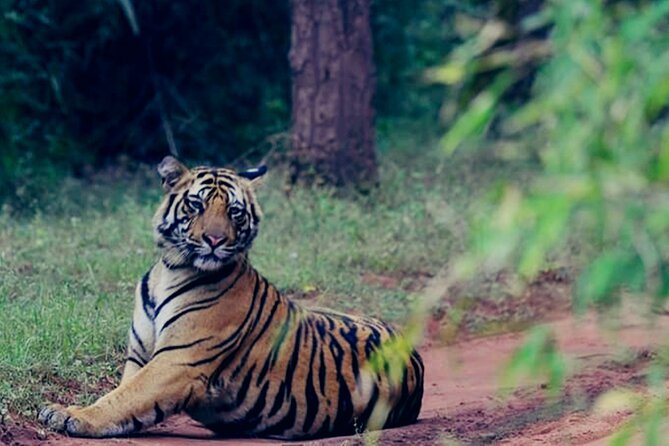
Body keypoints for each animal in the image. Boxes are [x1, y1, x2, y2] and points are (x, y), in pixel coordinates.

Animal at [38, 156, 424, 440]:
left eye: (234, 212)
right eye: (196, 205)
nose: (214, 240)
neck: (172, 268)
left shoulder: (178, 362)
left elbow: (123, 398)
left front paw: (69, 415)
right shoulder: (140, 356)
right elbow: (123, 393)